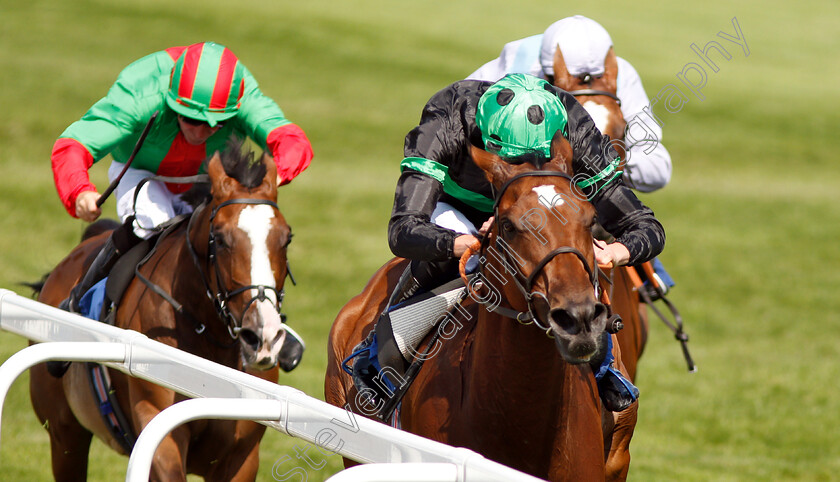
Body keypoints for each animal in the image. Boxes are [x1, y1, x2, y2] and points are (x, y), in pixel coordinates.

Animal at [28, 145, 292, 480]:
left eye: (287, 238)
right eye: (220, 239)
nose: (262, 336)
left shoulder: (242, 455)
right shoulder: (158, 429)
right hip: (64, 436)